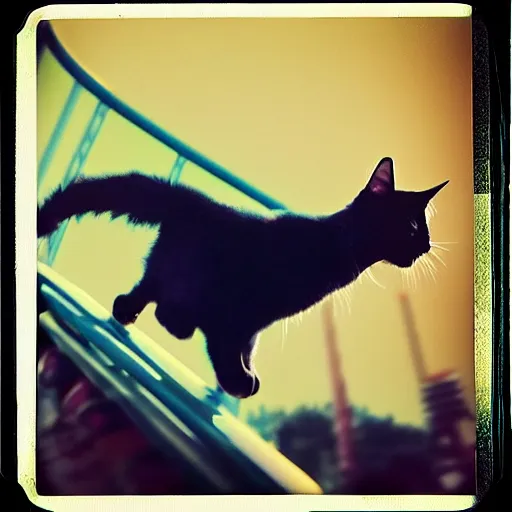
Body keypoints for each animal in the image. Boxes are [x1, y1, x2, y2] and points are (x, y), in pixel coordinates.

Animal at [39, 158, 448, 398]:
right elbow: (225, 346)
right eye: (412, 227)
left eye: (425, 229)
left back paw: (133, 313)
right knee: (163, 305)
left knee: (141, 293)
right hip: (193, 277)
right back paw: (175, 325)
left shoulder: (255, 322)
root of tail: (194, 202)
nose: (427, 246)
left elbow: (247, 346)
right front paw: (235, 380)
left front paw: (245, 373)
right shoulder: (235, 311)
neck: (334, 245)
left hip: (166, 270)